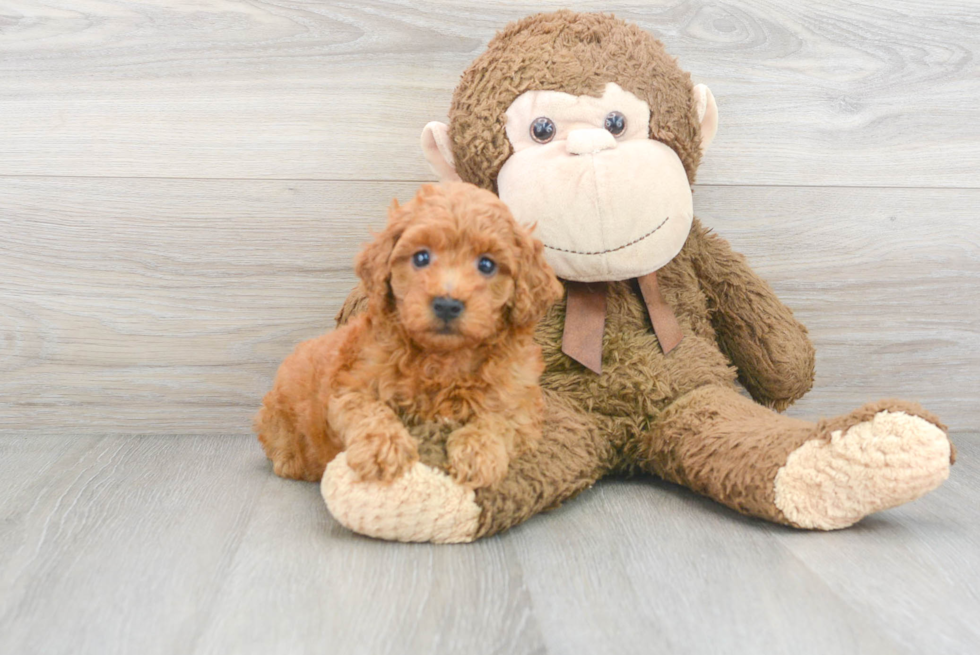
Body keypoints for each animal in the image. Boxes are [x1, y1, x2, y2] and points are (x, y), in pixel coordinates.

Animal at [255, 182, 560, 490]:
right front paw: (384, 448)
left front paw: (478, 452)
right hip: (278, 419)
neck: (444, 359)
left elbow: (501, 420)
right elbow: (368, 410)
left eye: (487, 265)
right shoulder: (349, 386)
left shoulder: (522, 401)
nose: (447, 304)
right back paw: (291, 460)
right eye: (421, 257)